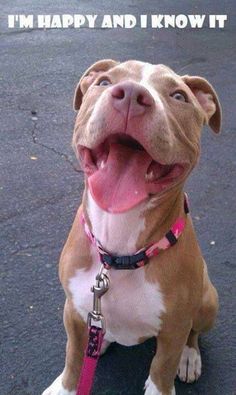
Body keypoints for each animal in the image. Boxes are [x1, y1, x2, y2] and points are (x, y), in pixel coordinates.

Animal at [41, 59, 220, 395]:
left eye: (179, 96)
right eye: (104, 82)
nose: (131, 96)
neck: (119, 252)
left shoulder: (174, 328)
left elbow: (162, 369)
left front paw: (170, 373)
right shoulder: (72, 310)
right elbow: (73, 356)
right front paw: (66, 386)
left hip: (207, 302)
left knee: (193, 333)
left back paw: (189, 357)